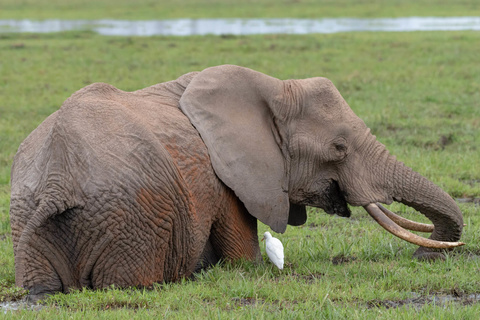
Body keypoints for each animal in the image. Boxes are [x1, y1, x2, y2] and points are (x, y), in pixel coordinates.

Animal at [9, 64, 464, 300]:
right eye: (338, 148)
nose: (424, 257)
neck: (272, 87)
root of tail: (58, 181)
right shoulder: (224, 178)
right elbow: (243, 253)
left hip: (34, 215)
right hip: (132, 218)